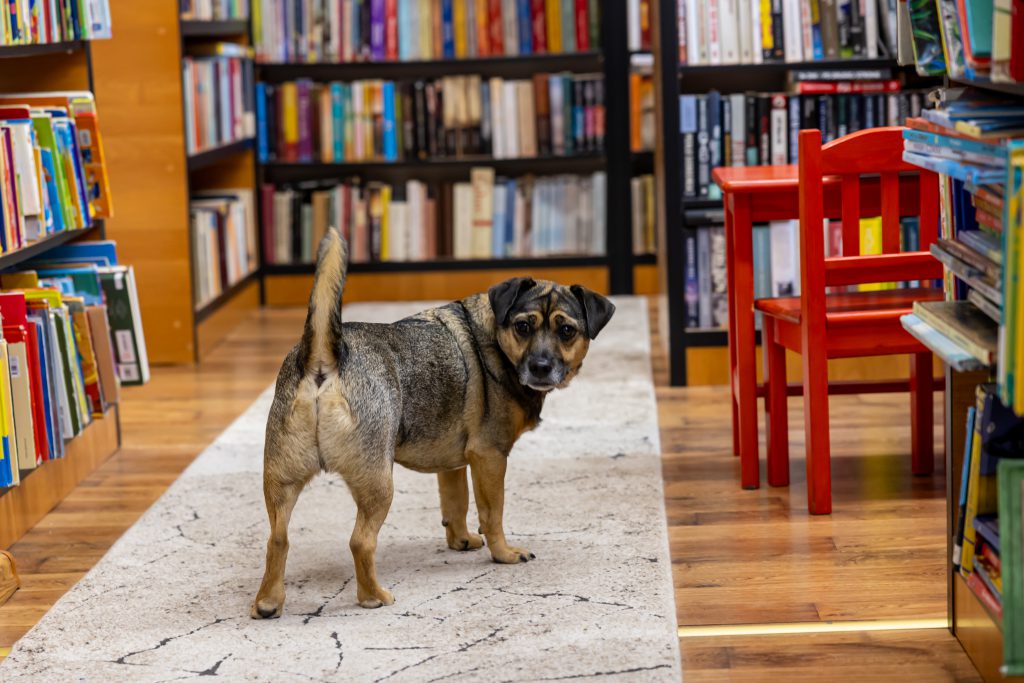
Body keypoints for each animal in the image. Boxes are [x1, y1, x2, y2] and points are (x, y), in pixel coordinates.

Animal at [251, 229, 615, 618]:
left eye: (566, 331)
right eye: (523, 326)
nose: (541, 367)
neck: (495, 335)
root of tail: (325, 358)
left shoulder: (453, 464)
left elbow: (455, 503)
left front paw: (461, 541)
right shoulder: (490, 457)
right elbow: (493, 512)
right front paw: (503, 553)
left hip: (281, 480)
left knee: (277, 540)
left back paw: (268, 603)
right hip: (378, 484)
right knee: (360, 541)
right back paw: (373, 596)